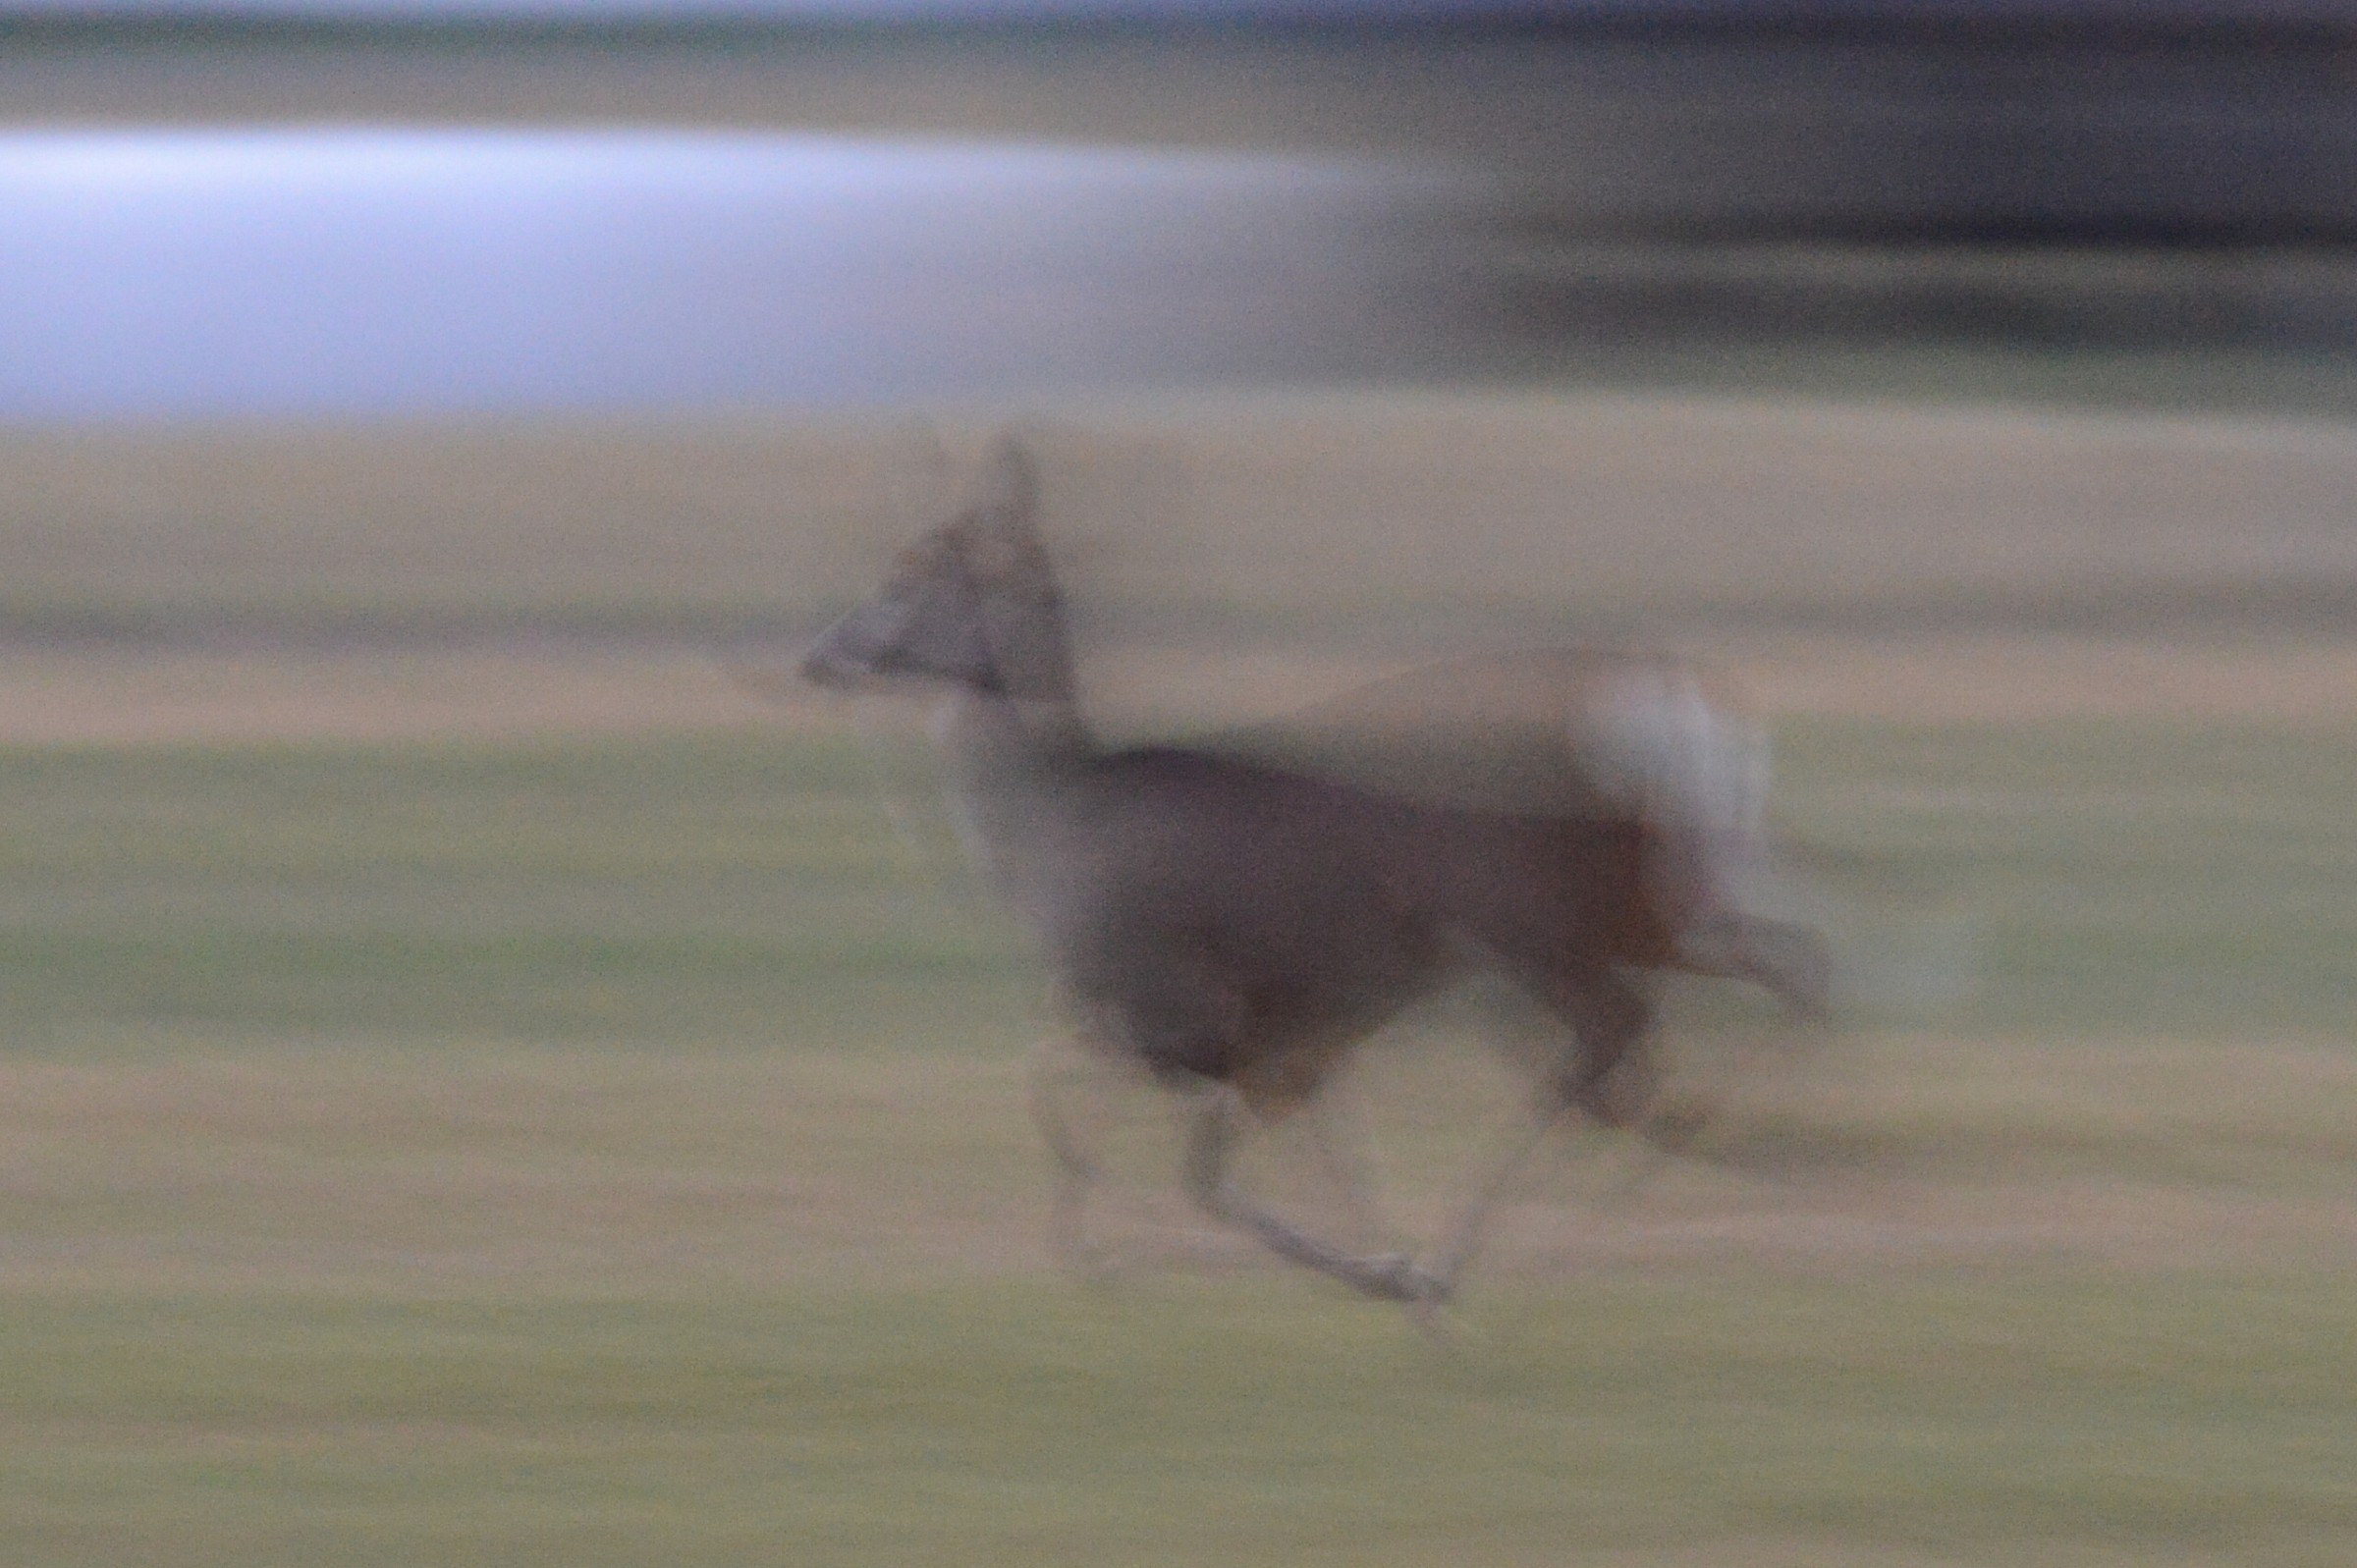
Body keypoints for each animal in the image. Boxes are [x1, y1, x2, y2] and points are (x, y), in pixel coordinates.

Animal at [798, 438, 1829, 1310]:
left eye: (910, 570)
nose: (820, 655)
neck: (1050, 821)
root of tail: (1667, 695)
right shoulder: (1293, 1022)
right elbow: (1305, 1142)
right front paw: (1380, 1259)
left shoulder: (1189, 1003)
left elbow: (1153, 1143)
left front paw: (1383, 1274)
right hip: (1664, 900)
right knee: (1779, 976)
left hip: (1534, 918)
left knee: (1619, 1042)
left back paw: (1486, 1258)